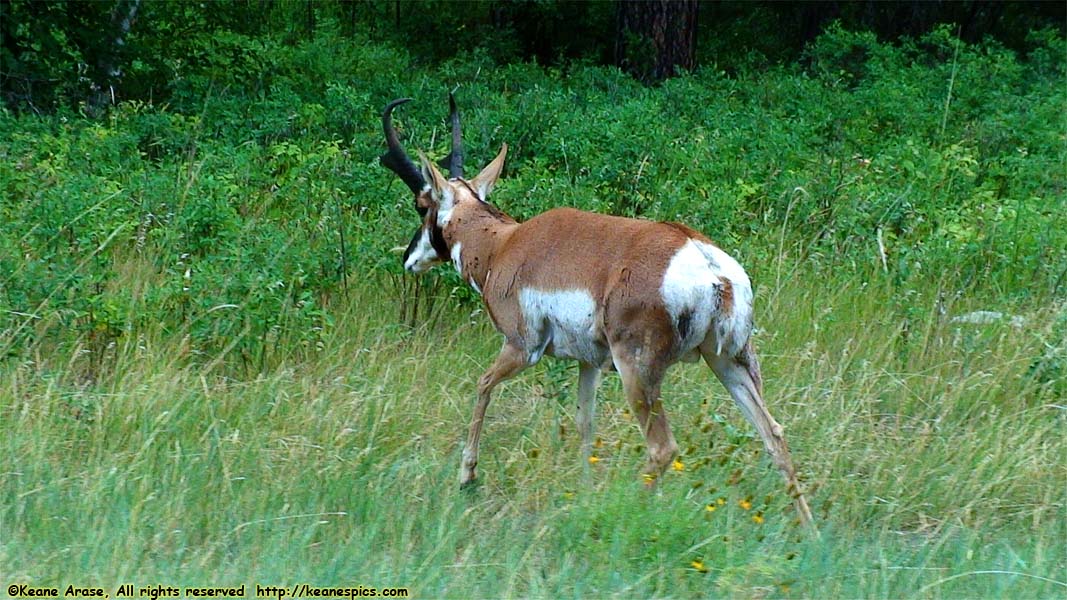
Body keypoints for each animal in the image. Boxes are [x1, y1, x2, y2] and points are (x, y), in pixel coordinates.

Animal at [384, 94, 815, 527]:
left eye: (421, 204)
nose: (408, 259)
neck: (504, 245)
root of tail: (707, 263)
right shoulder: (587, 362)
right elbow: (584, 423)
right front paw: (585, 492)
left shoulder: (521, 348)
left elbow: (483, 384)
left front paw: (467, 477)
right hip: (729, 362)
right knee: (774, 434)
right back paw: (810, 530)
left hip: (637, 371)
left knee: (663, 449)